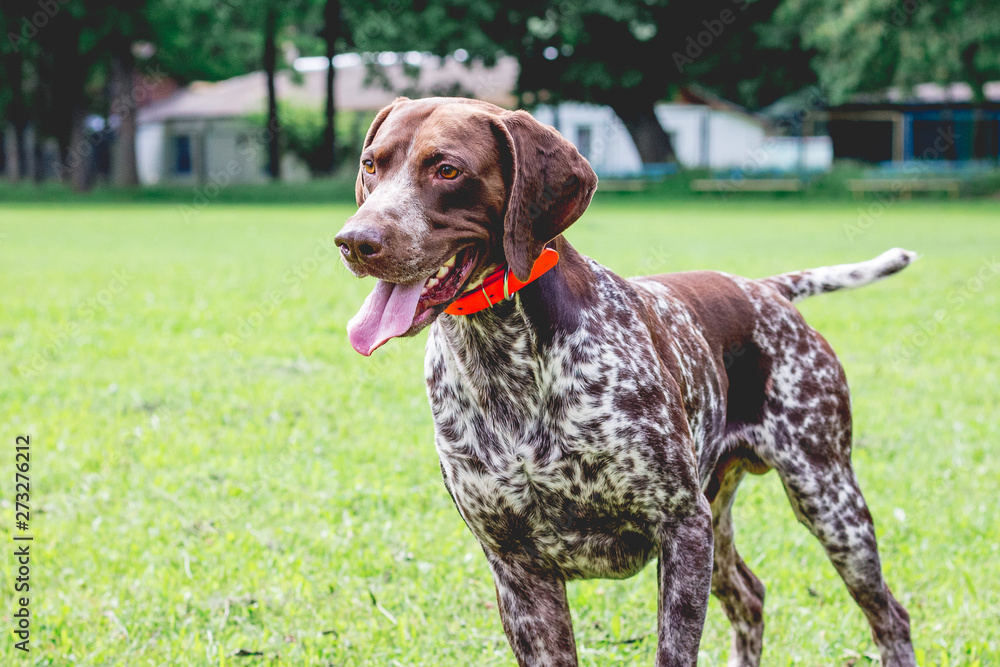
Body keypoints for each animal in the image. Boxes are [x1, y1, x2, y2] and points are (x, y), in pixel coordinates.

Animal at [334, 96, 916, 664]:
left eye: (447, 169)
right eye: (371, 164)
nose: (355, 241)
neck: (502, 361)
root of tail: (765, 289)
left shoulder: (681, 527)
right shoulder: (517, 567)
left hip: (828, 503)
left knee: (890, 616)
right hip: (723, 516)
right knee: (751, 596)